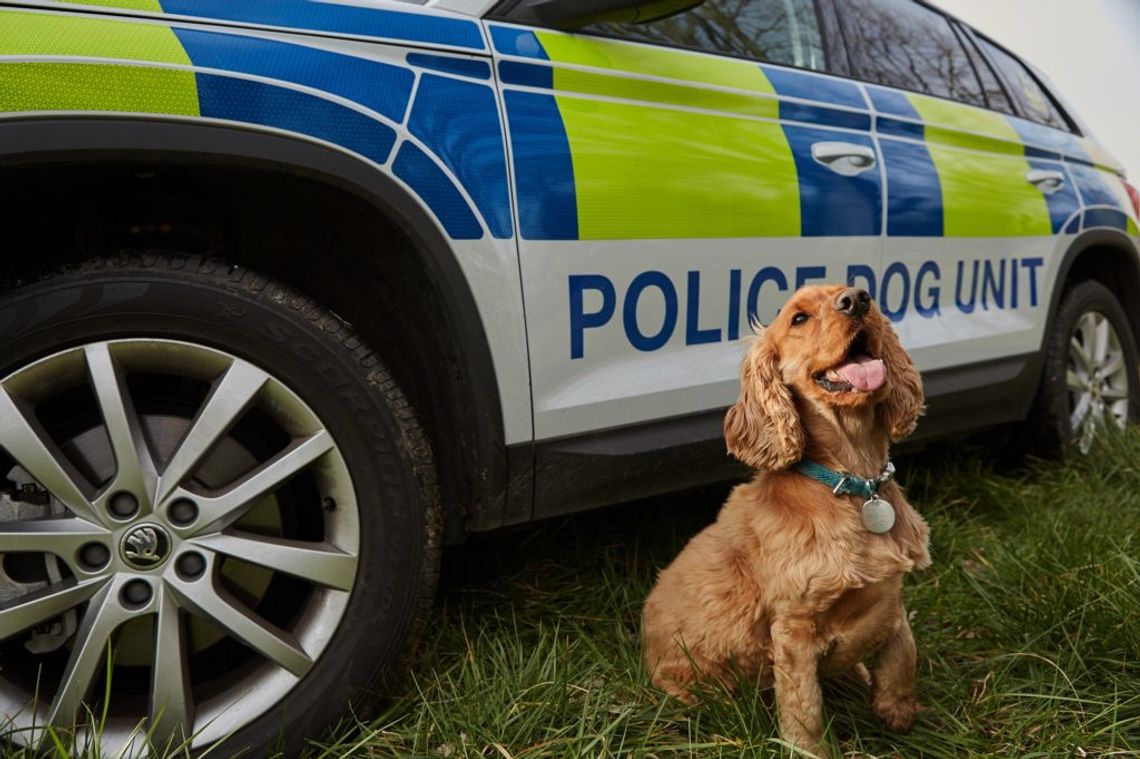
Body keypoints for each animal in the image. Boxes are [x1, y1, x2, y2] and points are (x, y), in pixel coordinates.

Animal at [642, 282, 925, 752]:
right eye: (798, 318)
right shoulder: (794, 629)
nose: (857, 299)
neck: (854, 483)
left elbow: (904, 651)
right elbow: (804, 708)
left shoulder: (891, 595)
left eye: (857, 292)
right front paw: (809, 750)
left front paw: (899, 712)